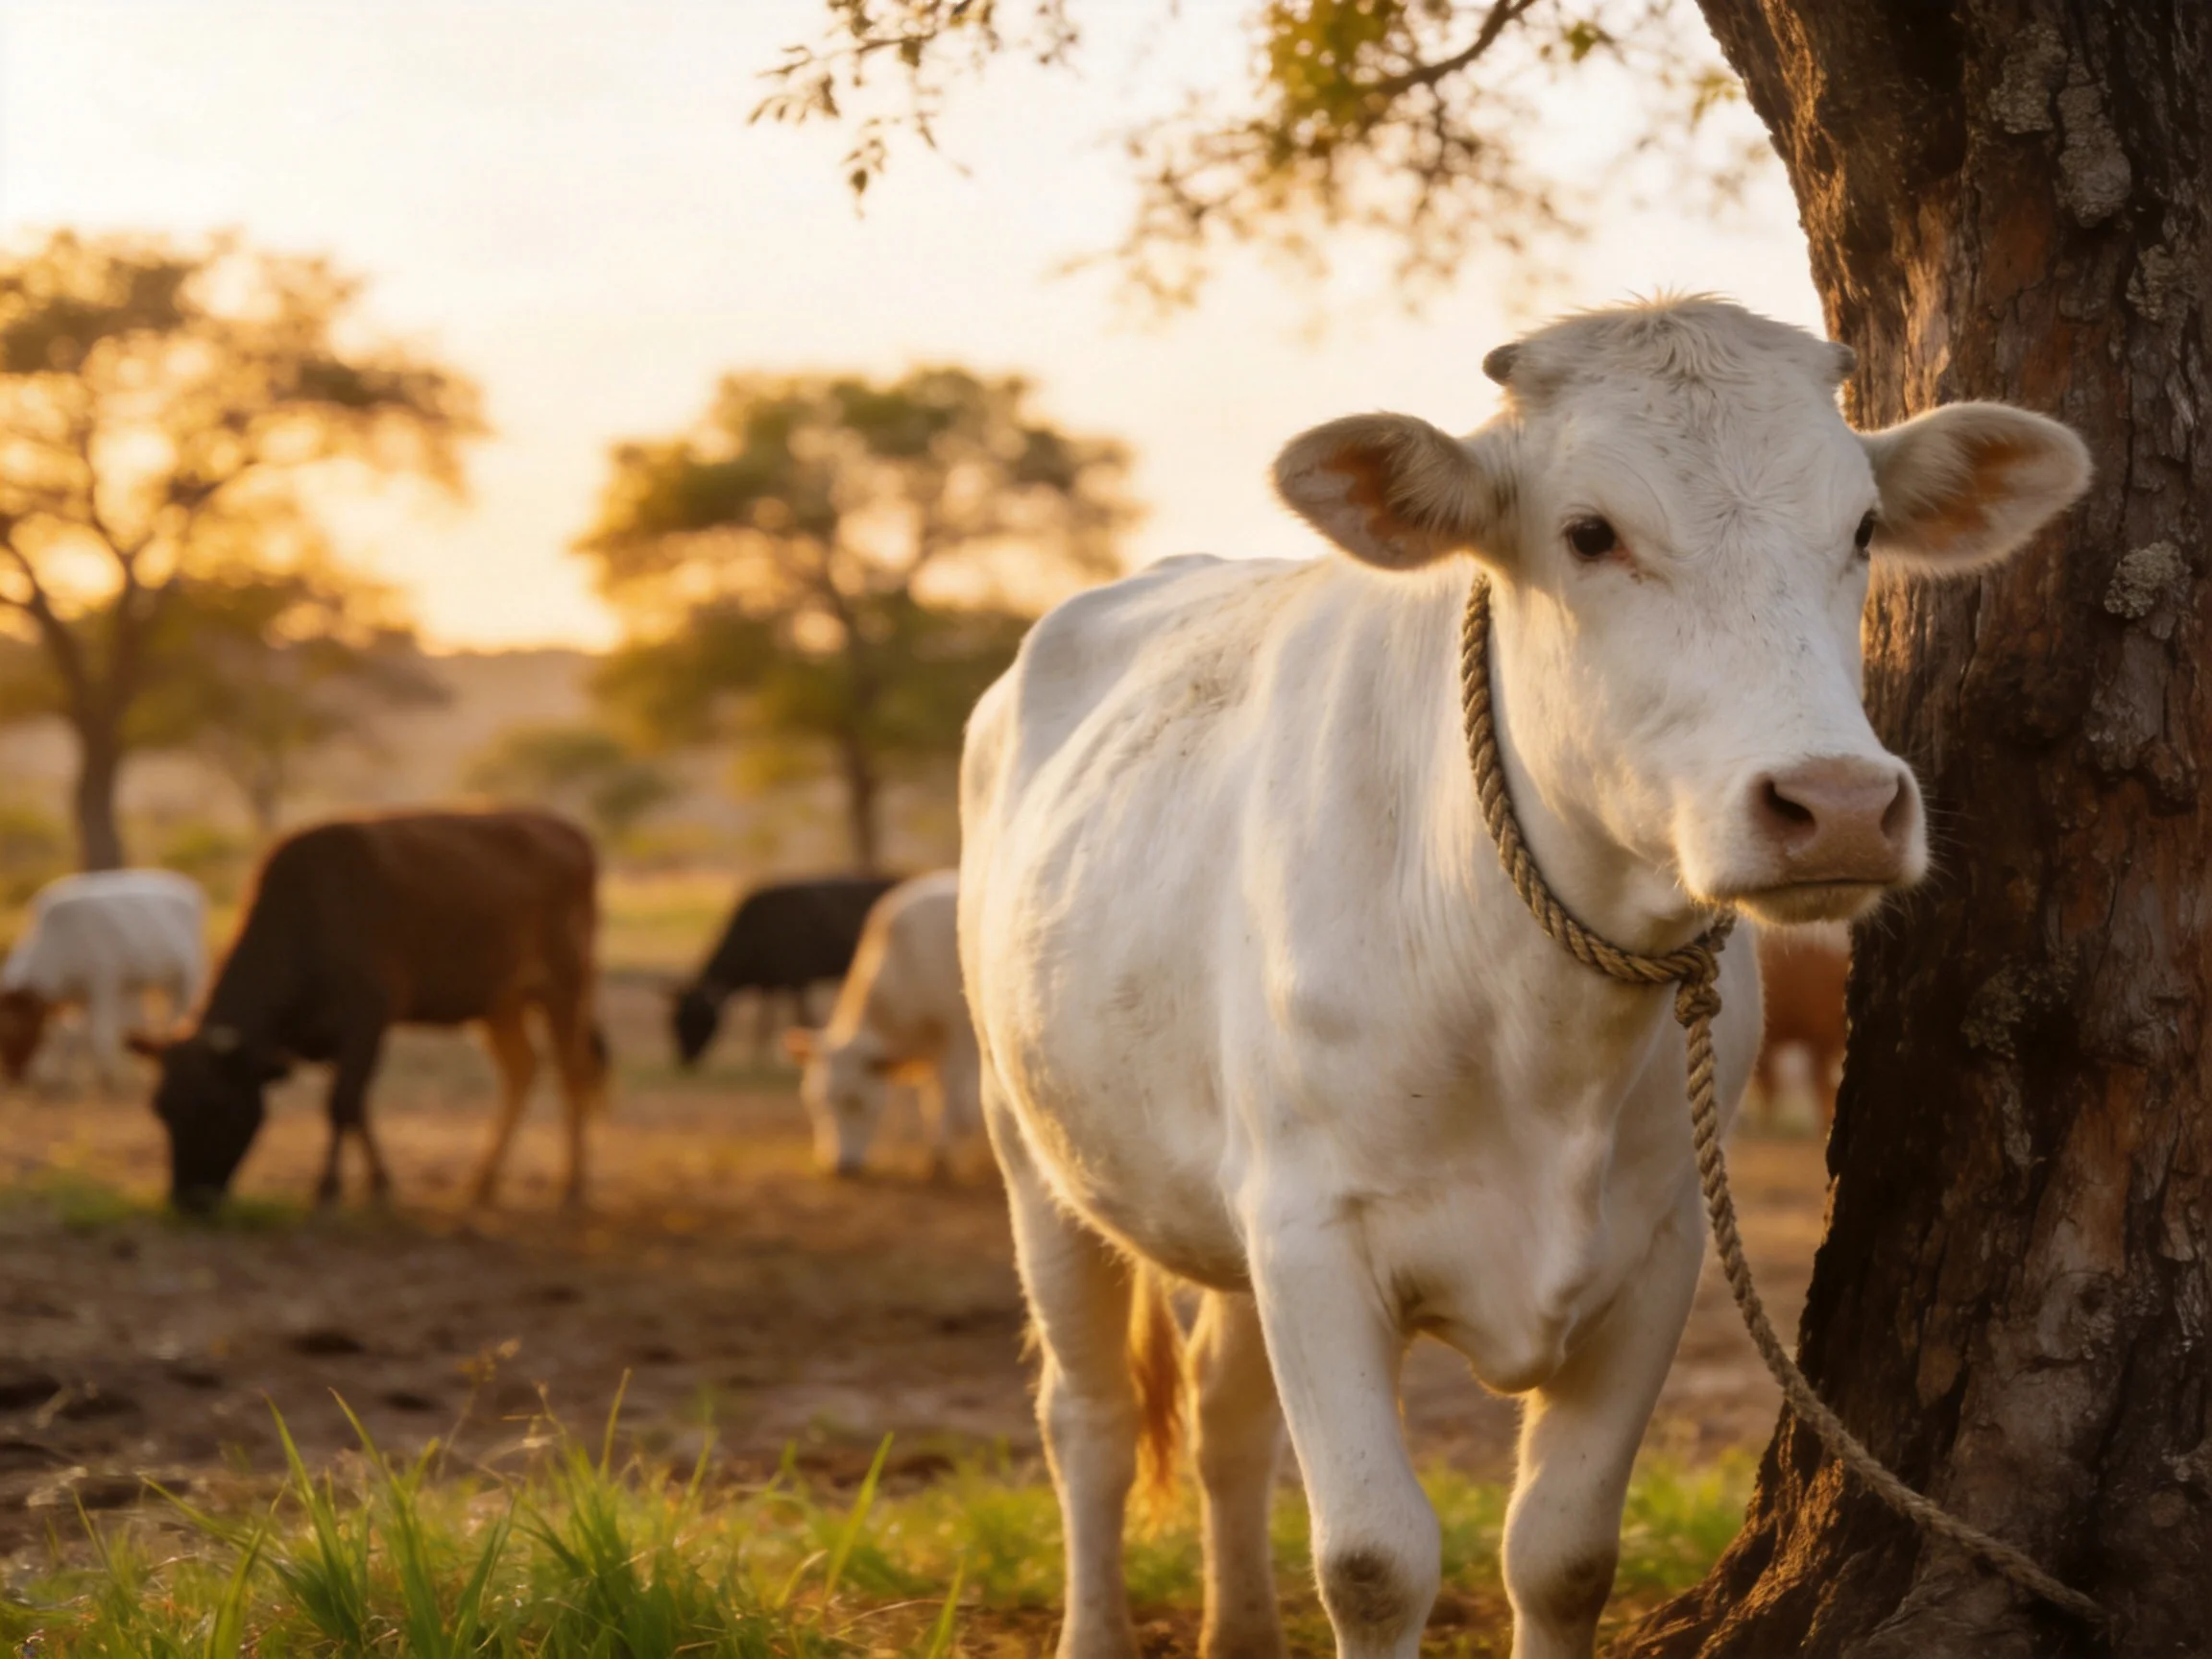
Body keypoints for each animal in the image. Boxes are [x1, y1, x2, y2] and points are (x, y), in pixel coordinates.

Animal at [0, 870, 206, 1093]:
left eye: (20, 1032)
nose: (14, 1076)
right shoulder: (79, 999)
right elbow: (71, 1038)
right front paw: (67, 1081)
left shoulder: (103, 986)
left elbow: (99, 1036)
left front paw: (108, 1080)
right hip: (140, 987)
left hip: (185, 980)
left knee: (176, 1019)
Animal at [132, 810, 608, 1213]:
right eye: (160, 1108)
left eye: (216, 1106)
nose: (188, 1200)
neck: (310, 916)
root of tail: (568, 830)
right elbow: (358, 1106)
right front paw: (379, 1185)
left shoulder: (367, 1018)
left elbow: (342, 1102)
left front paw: (328, 1189)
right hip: (500, 1005)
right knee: (521, 1071)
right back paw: (482, 1183)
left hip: (565, 989)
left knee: (572, 1074)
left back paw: (572, 1188)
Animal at [669, 875, 899, 1067]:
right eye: (674, 1019)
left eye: (695, 1018)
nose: (685, 1060)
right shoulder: (768, 986)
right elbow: (763, 1025)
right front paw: (756, 1060)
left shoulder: (797, 980)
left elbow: (803, 1018)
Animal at [784, 871, 977, 1178]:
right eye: (816, 1102)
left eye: (856, 1101)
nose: (840, 1165)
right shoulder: (932, 1048)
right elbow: (935, 1098)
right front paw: (939, 1152)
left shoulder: (958, 1034)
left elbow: (953, 1099)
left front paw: (946, 1154)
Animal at [957, 297, 2089, 1659]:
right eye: (1589, 532)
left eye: (1862, 527)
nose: (1839, 806)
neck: (1534, 1027)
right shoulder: (1310, 1232)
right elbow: (1374, 1560)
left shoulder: (1654, 1246)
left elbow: (1562, 1554)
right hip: (1032, 1149)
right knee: (1091, 1423)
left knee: (1228, 1418)